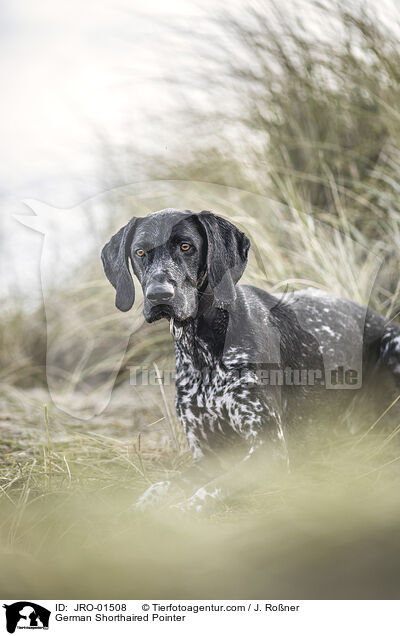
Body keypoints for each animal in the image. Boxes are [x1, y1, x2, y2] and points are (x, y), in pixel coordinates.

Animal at [101, 211, 400, 510]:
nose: (159, 295)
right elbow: (159, 488)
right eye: (140, 252)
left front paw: (181, 510)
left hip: (391, 342)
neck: (204, 351)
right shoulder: (208, 456)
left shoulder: (269, 449)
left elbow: (205, 494)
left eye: (186, 246)